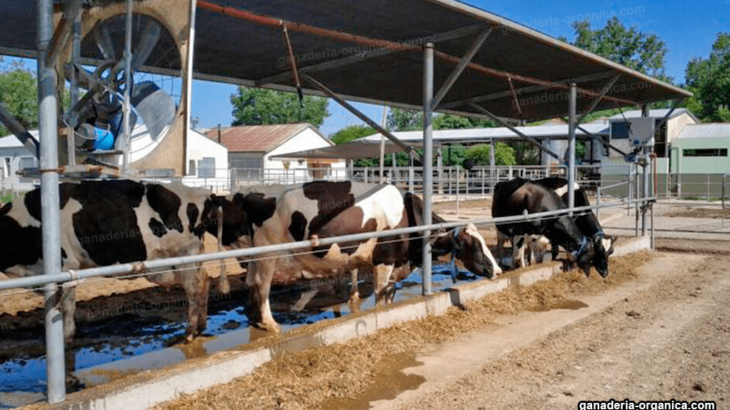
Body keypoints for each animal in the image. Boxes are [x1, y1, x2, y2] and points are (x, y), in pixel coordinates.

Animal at [0, 180, 222, 342]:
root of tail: (202, 193)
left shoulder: (67, 266)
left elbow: (67, 306)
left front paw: (65, 337)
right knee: (204, 281)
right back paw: (201, 326)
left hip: (184, 255)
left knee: (195, 287)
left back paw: (191, 331)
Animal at [210, 181, 500, 332]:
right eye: (472, 245)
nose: (497, 271)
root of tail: (250, 193)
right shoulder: (384, 260)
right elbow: (381, 296)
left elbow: (387, 293)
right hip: (267, 253)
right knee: (262, 285)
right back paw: (270, 324)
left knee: (251, 283)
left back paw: (253, 318)